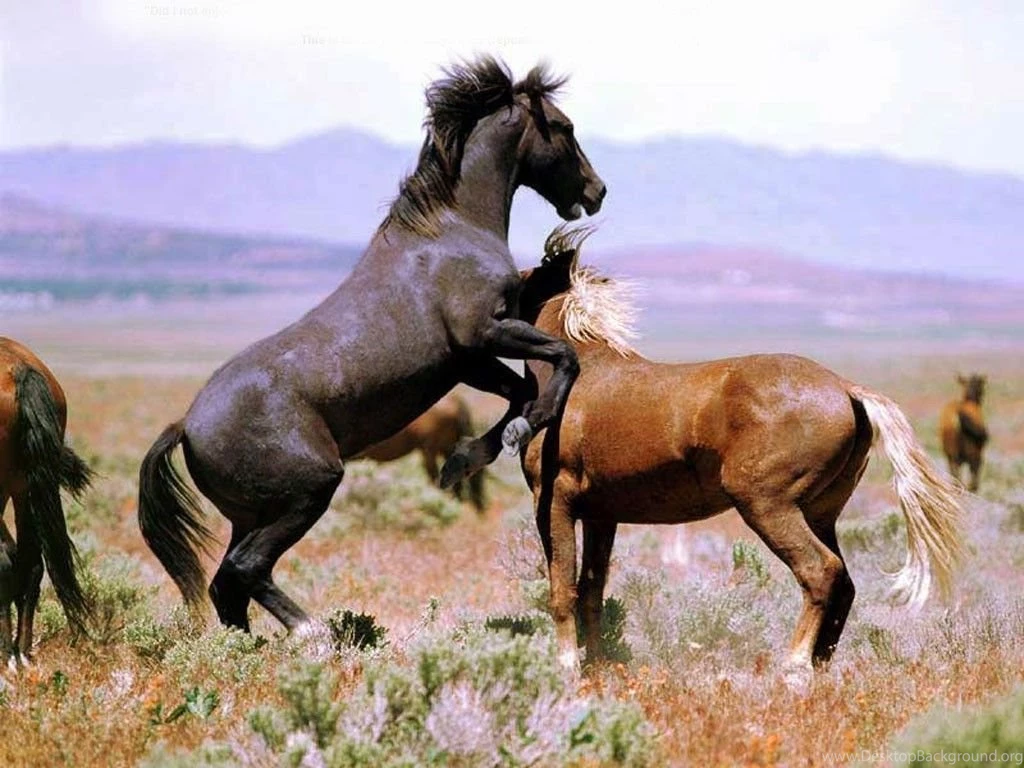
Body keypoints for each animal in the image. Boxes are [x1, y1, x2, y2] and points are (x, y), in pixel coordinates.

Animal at [514, 227, 965, 681]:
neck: (581, 375)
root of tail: (845, 388)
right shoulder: (601, 514)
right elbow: (592, 590)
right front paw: (599, 666)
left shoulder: (555, 502)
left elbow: (562, 590)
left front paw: (567, 668)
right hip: (820, 514)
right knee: (845, 583)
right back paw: (820, 667)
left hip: (767, 505)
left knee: (820, 572)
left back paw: (795, 666)